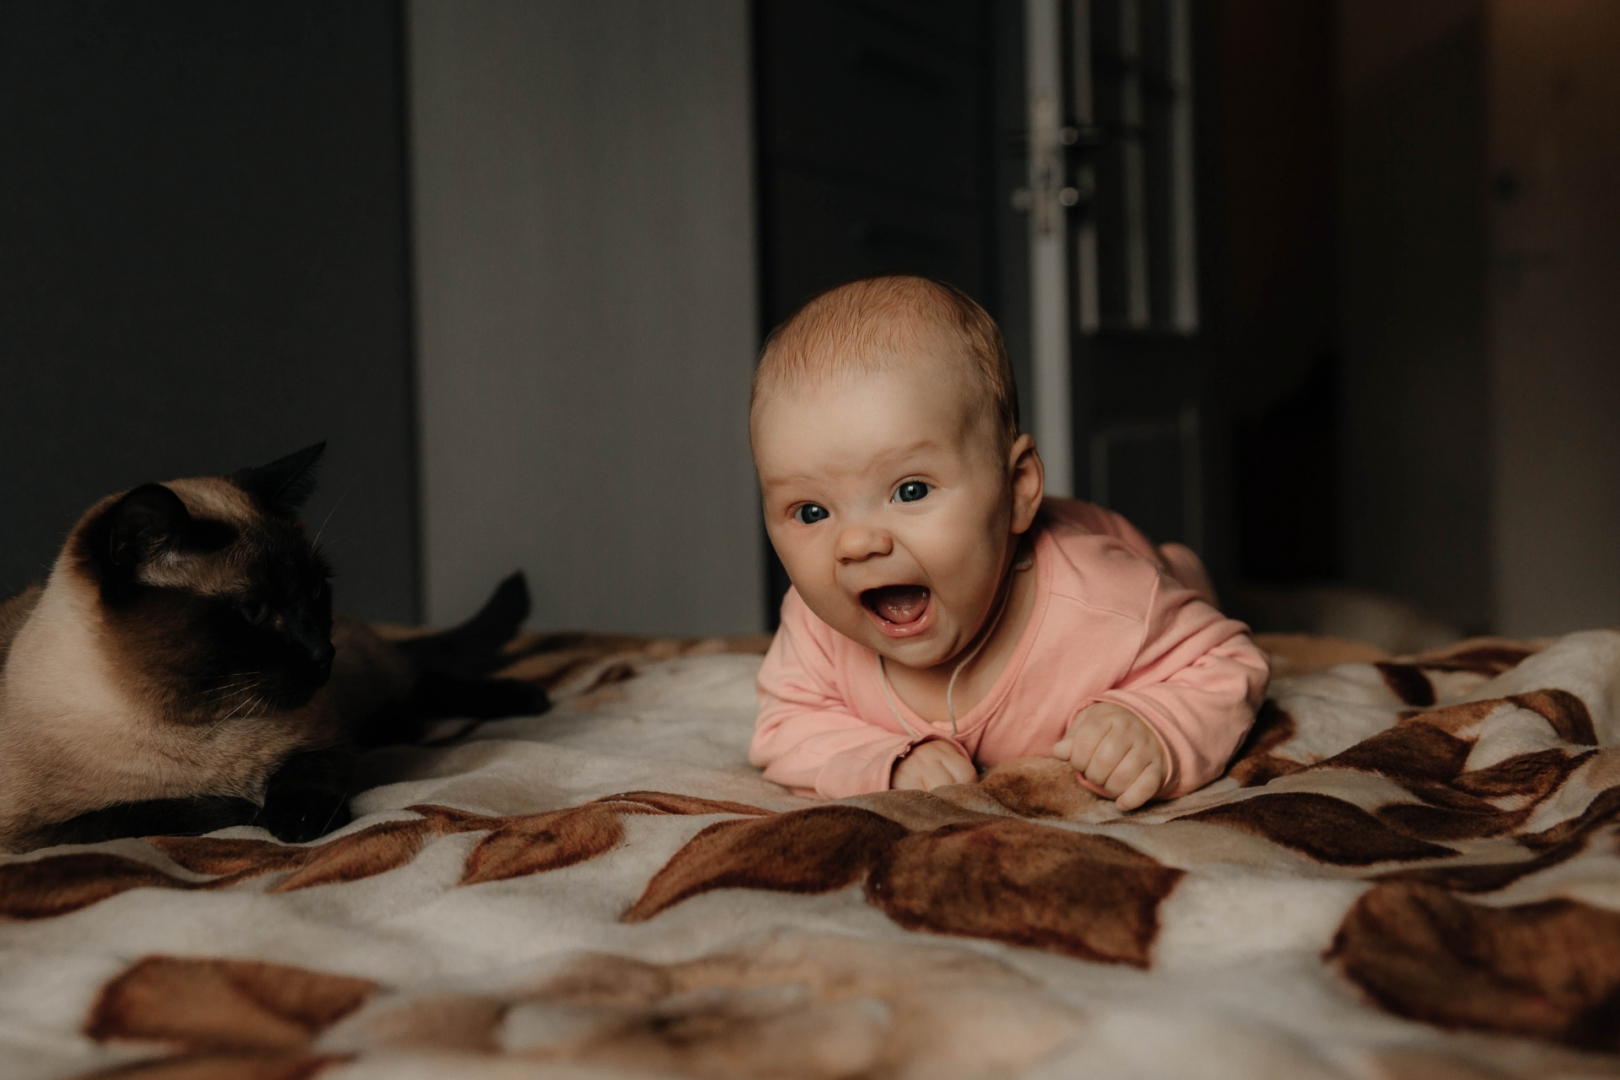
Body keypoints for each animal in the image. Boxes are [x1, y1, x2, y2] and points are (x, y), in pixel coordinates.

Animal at [0, 446, 547, 854]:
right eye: (257, 611)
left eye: (316, 592)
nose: (322, 651)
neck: (208, 729)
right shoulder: (35, 834)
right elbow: (155, 812)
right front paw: (248, 809)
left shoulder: (326, 740)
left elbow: (303, 779)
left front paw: (296, 824)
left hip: (364, 685)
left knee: (417, 677)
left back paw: (528, 698)